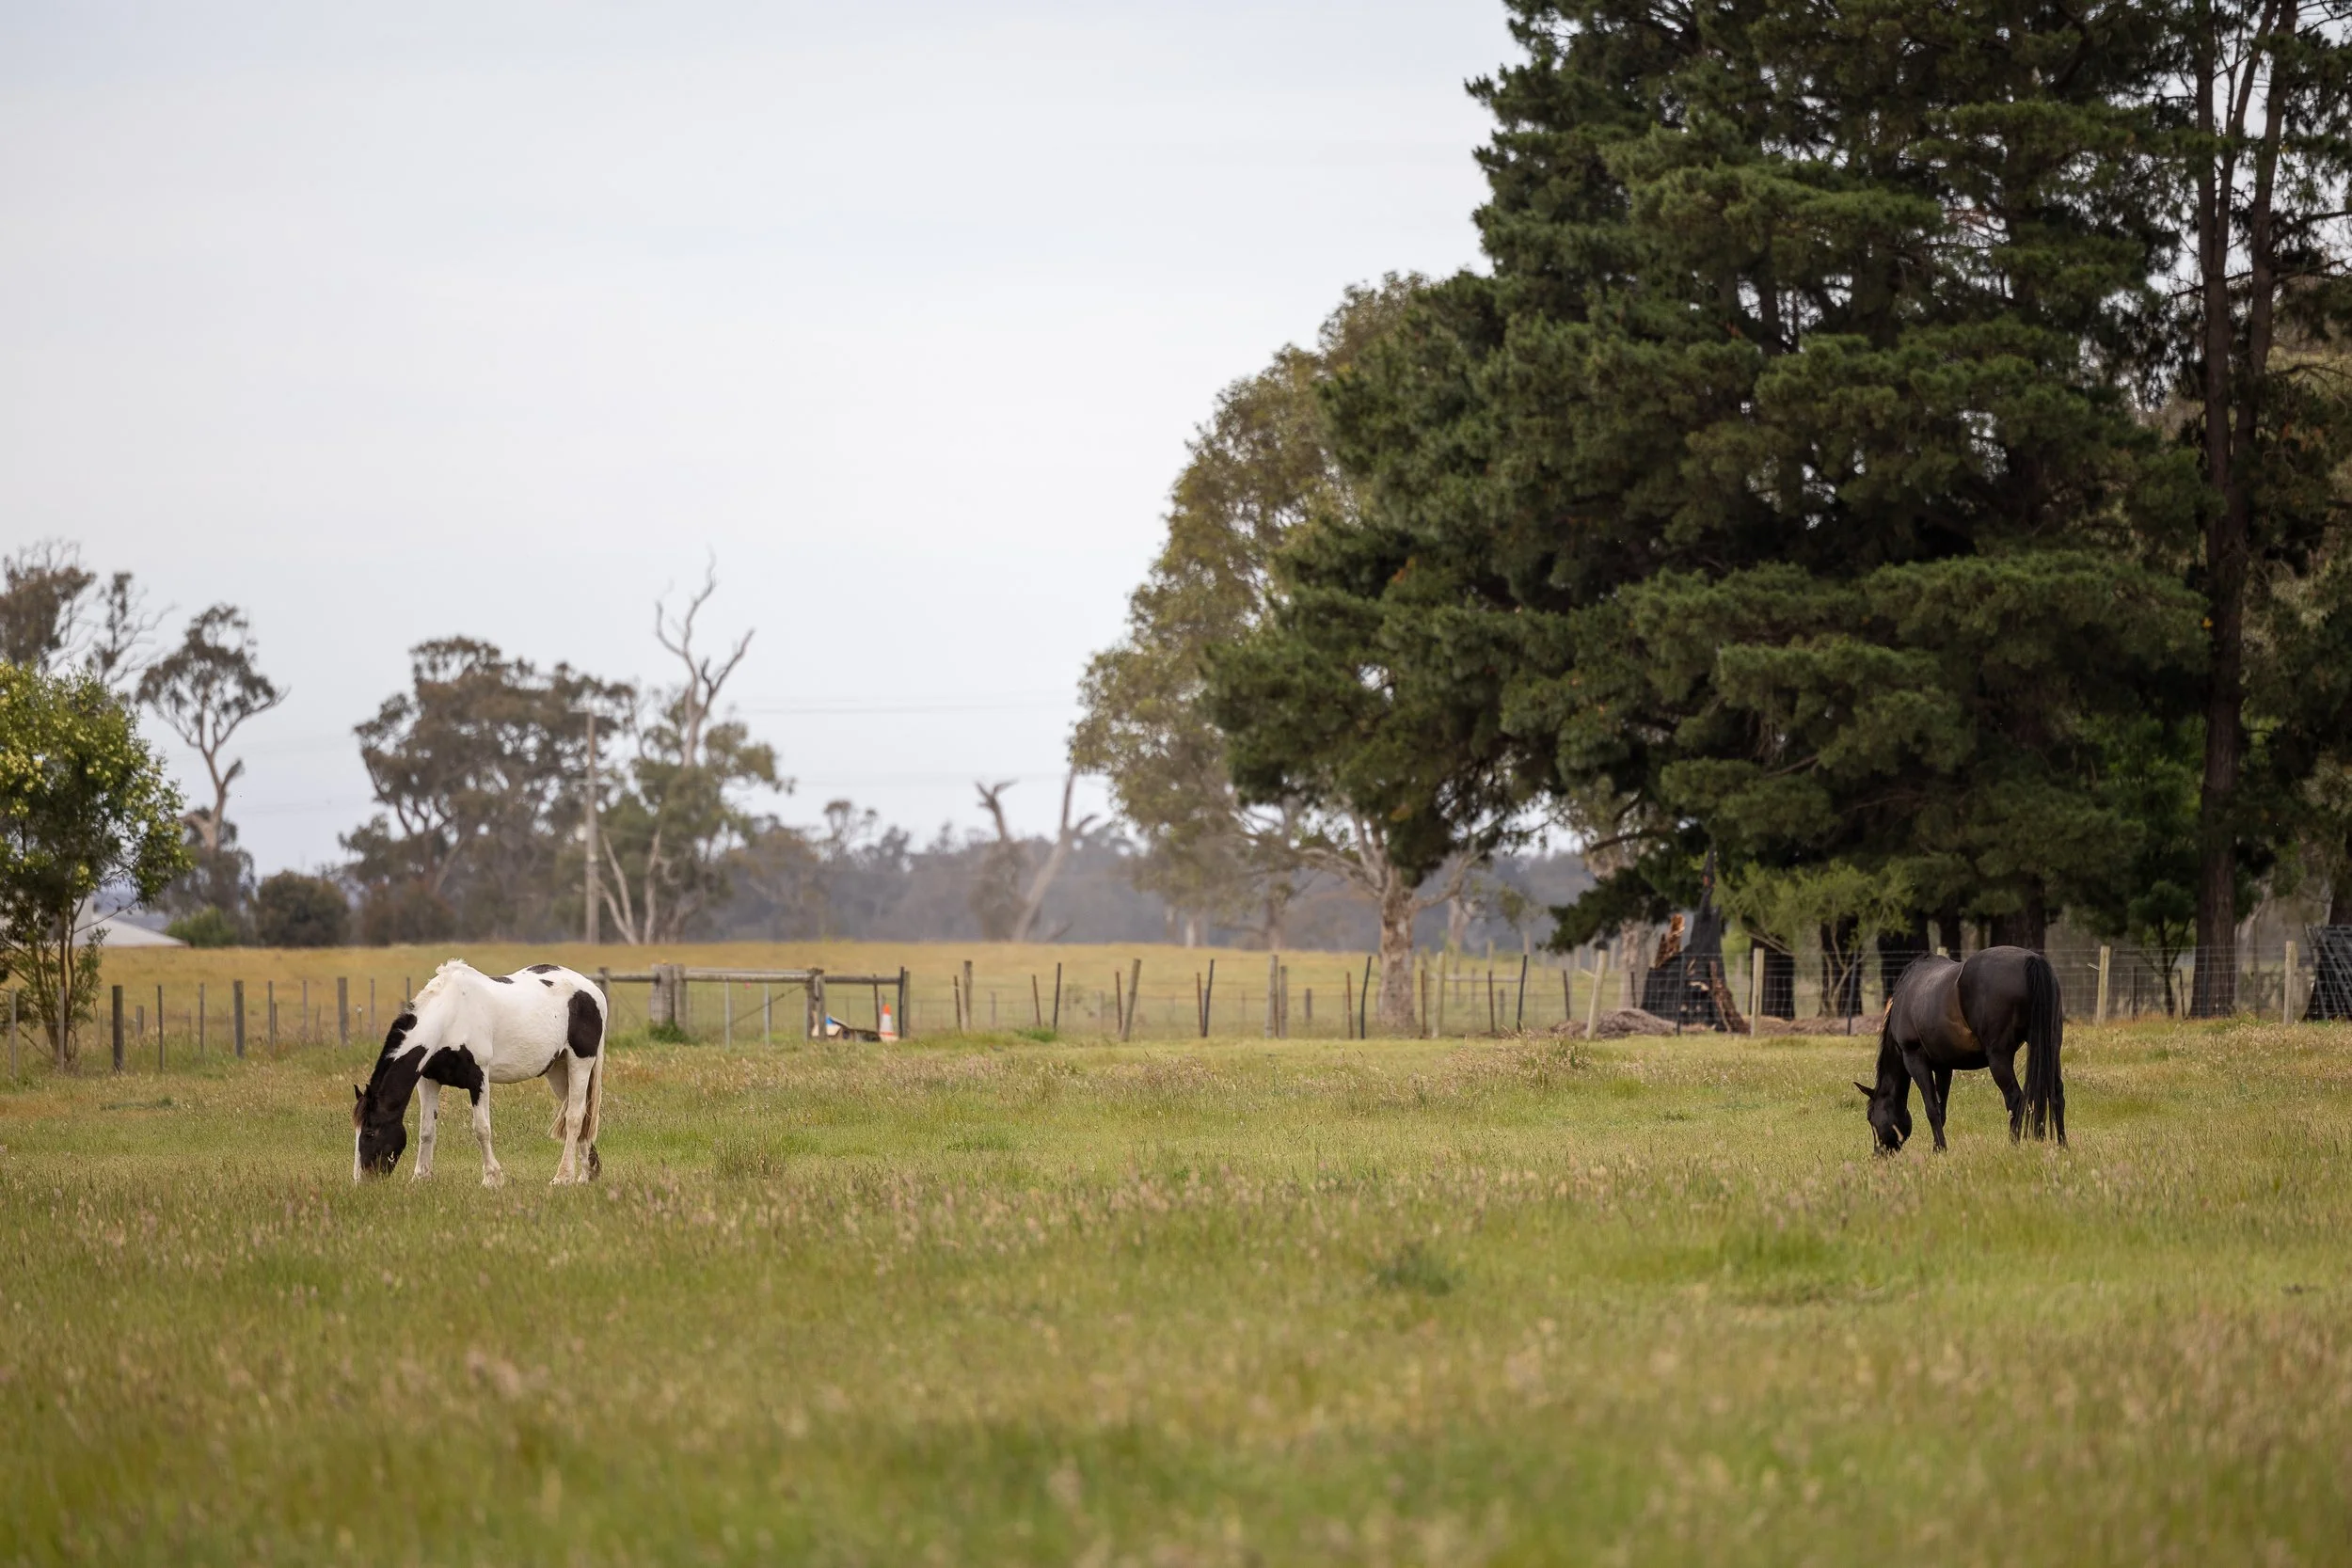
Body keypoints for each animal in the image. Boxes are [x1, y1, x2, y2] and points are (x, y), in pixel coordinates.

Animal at [352, 959, 608, 1186]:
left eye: (369, 1133)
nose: (361, 1180)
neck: (449, 1016)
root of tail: (593, 990)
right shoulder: (429, 1080)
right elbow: (426, 1130)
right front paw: (421, 1177)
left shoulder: (479, 1079)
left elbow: (482, 1129)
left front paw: (492, 1178)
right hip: (558, 1070)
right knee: (581, 1114)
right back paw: (587, 1173)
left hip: (580, 1063)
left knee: (574, 1117)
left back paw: (563, 1177)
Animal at [1856, 945, 2064, 1153]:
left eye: (1870, 1117)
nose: (1878, 1154)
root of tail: (2032, 960)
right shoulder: (1943, 1067)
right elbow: (1941, 1109)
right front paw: (1938, 1149)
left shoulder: (1914, 1058)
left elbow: (1931, 1108)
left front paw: (1939, 1149)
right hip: (2051, 1047)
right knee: (2057, 1094)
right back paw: (2063, 1146)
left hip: (1999, 1058)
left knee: (2015, 1099)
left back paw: (2013, 1147)